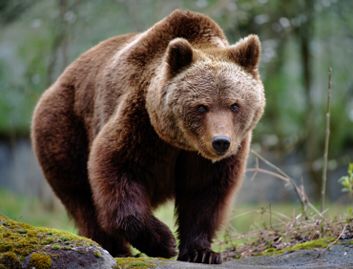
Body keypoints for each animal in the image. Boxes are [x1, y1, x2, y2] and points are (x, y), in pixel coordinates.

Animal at [31, 9, 264, 262]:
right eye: (201, 106)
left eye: (235, 105)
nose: (220, 142)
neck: (181, 143)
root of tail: (56, 83)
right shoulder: (141, 124)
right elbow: (117, 168)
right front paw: (164, 242)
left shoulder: (211, 158)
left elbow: (205, 194)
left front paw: (202, 252)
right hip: (65, 126)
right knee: (81, 194)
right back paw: (115, 247)